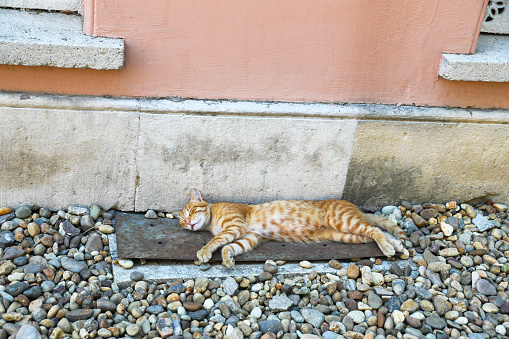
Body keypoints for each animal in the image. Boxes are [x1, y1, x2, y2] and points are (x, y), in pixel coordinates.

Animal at [179, 189, 408, 268]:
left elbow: (216, 241)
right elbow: (229, 247)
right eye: (181, 222)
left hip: (343, 221)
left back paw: (389, 248)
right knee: (378, 232)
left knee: (375, 230)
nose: (188, 223)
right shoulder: (249, 237)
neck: (212, 221)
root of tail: (355, 207)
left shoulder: (235, 226)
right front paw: (228, 259)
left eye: (191, 211)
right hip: (345, 234)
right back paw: (398, 247)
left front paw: (204, 251)